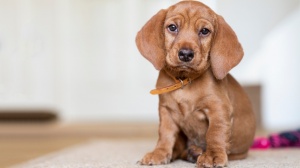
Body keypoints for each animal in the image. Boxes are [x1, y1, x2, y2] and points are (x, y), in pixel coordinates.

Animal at [136, 0, 255, 167]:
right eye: (172, 27)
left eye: (204, 31)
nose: (186, 54)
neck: (184, 81)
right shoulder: (166, 111)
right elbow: (165, 135)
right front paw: (159, 153)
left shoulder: (218, 109)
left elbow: (215, 133)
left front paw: (212, 155)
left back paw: (196, 152)